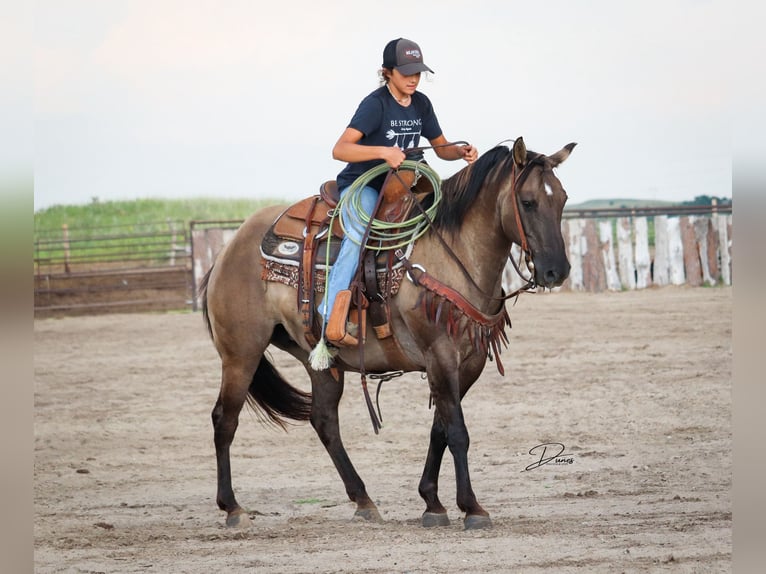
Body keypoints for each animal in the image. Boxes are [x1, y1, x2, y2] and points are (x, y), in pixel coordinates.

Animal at [200, 137, 576, 532]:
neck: (453, 252)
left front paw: (432, 502)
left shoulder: (469, 363)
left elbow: (440, 428)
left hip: (318, 359)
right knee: (225, 418)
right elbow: (457, 431)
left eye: (562, 199)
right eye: (528, 201)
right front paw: (472, 507)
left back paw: (363, 500)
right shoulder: (440, 354)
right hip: (241, 353)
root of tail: (228, 250)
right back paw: (233, 507)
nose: (557, 270)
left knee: (324, 420)